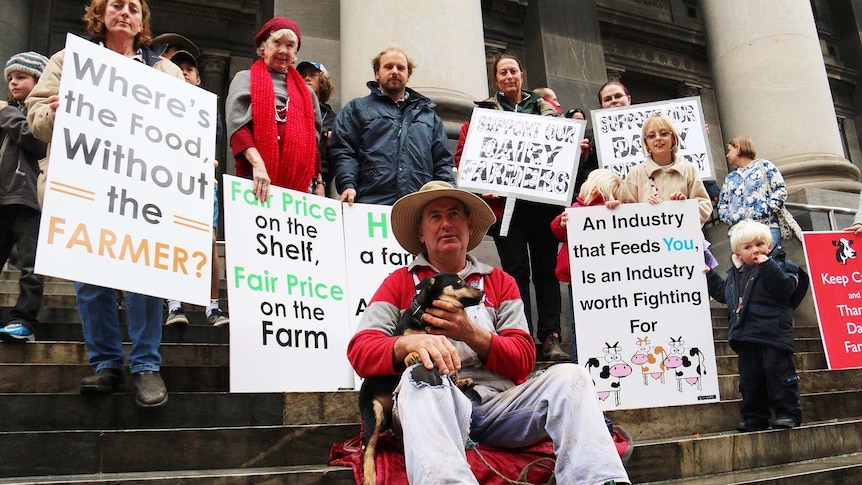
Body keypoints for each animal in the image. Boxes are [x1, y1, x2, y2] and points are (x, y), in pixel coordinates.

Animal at [358, 272, 486, 484]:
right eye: (459, 282)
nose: (482, 292)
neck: (427, 323)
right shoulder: (415, 341)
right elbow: (410, 345)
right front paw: (412, 355)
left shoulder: (442, 346)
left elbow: (451, 365)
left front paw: (458, 378)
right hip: (373, 413)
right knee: (367, 450)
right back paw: (370, 476)